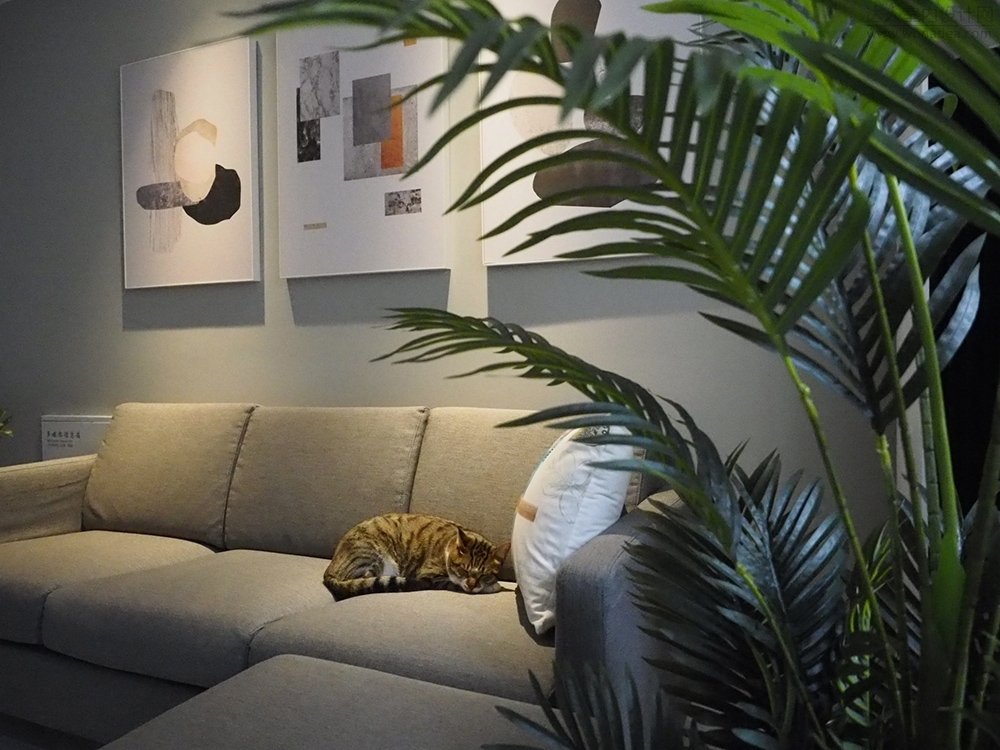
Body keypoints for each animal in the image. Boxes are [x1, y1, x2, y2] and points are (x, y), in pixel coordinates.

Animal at [324, 513, 511, 601]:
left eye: (485, 574)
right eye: (463, 570)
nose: (471, 586)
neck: (448, 546)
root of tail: (328, 571)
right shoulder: (431, 576)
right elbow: (452, 584)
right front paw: (493, 587)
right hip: (372, 556)